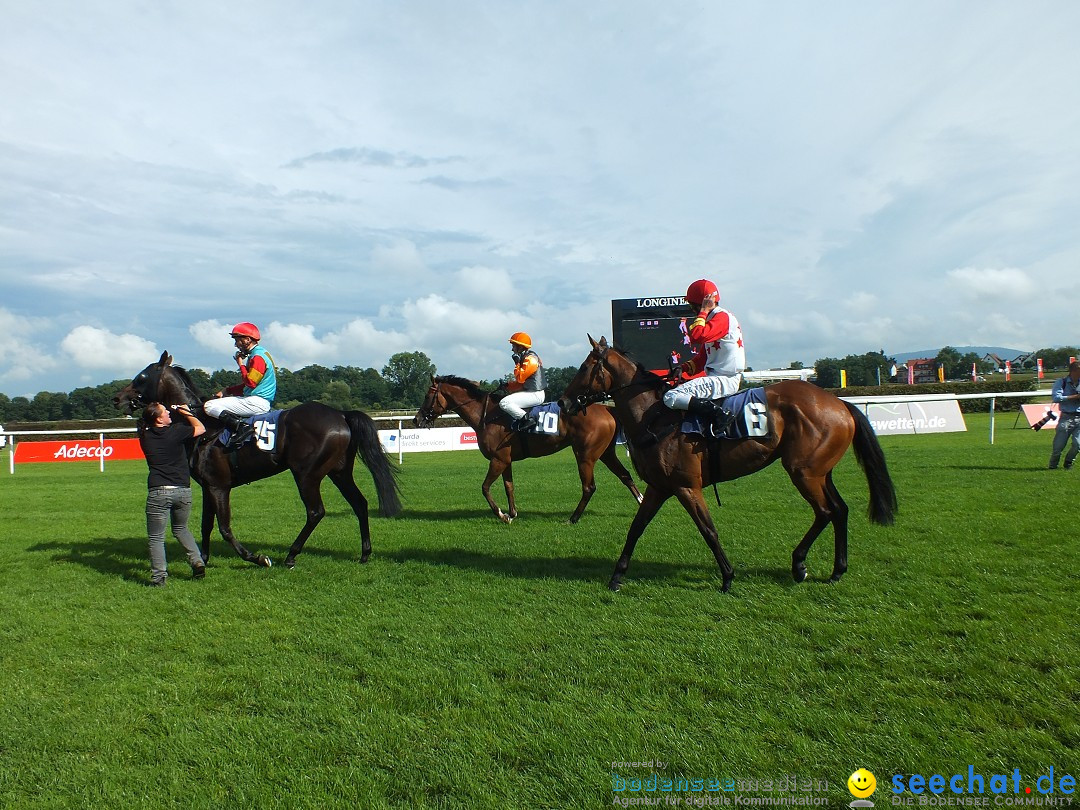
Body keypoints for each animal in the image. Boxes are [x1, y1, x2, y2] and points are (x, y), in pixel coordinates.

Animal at [113, 354, 403, 570]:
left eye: (141, 377)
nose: (117, 398)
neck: (203, 427)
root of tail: (340, 414)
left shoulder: (219, 487)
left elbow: (224, 527)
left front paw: (256, 558)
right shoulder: (208, 486)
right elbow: (206, 525)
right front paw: (202, 559)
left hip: (307, 475)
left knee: (316, 511)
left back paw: (291, 555)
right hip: (339, 472)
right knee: (359, 503)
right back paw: (365, 553)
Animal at [408, 375, 635, 527]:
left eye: (428, 395)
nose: (416, 420)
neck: (487, 416)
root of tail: (608, 408)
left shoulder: (498, 459)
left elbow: (485, 487)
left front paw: (502, 515)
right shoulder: (505, 460)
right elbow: (509, 487)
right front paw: (513, 513)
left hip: (585, 455)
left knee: (589, 487)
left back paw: (573, 518)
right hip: (606, 453)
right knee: (625, 475)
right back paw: (640, 501)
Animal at [552, 336, 898, 596]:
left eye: (584, 367)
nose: (564, 402)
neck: (655, 417)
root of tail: (840, 404)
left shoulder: (686, 486)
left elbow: (708, 530)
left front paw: (728, 577)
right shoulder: (659, 487)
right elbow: (636, 529)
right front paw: (616, 576)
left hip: (803, 472)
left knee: (826, 511)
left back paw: (799, 564)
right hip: (820, 471)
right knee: (839, 510)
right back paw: (837, 570)